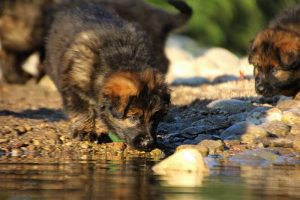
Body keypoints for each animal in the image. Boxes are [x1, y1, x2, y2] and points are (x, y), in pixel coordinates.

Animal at [45, 3, 170, 151]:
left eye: (155, 118)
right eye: (133, 117)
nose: (148, 143)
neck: (124, 60)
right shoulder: (73, 85)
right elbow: (82, 110)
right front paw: (84, 131)